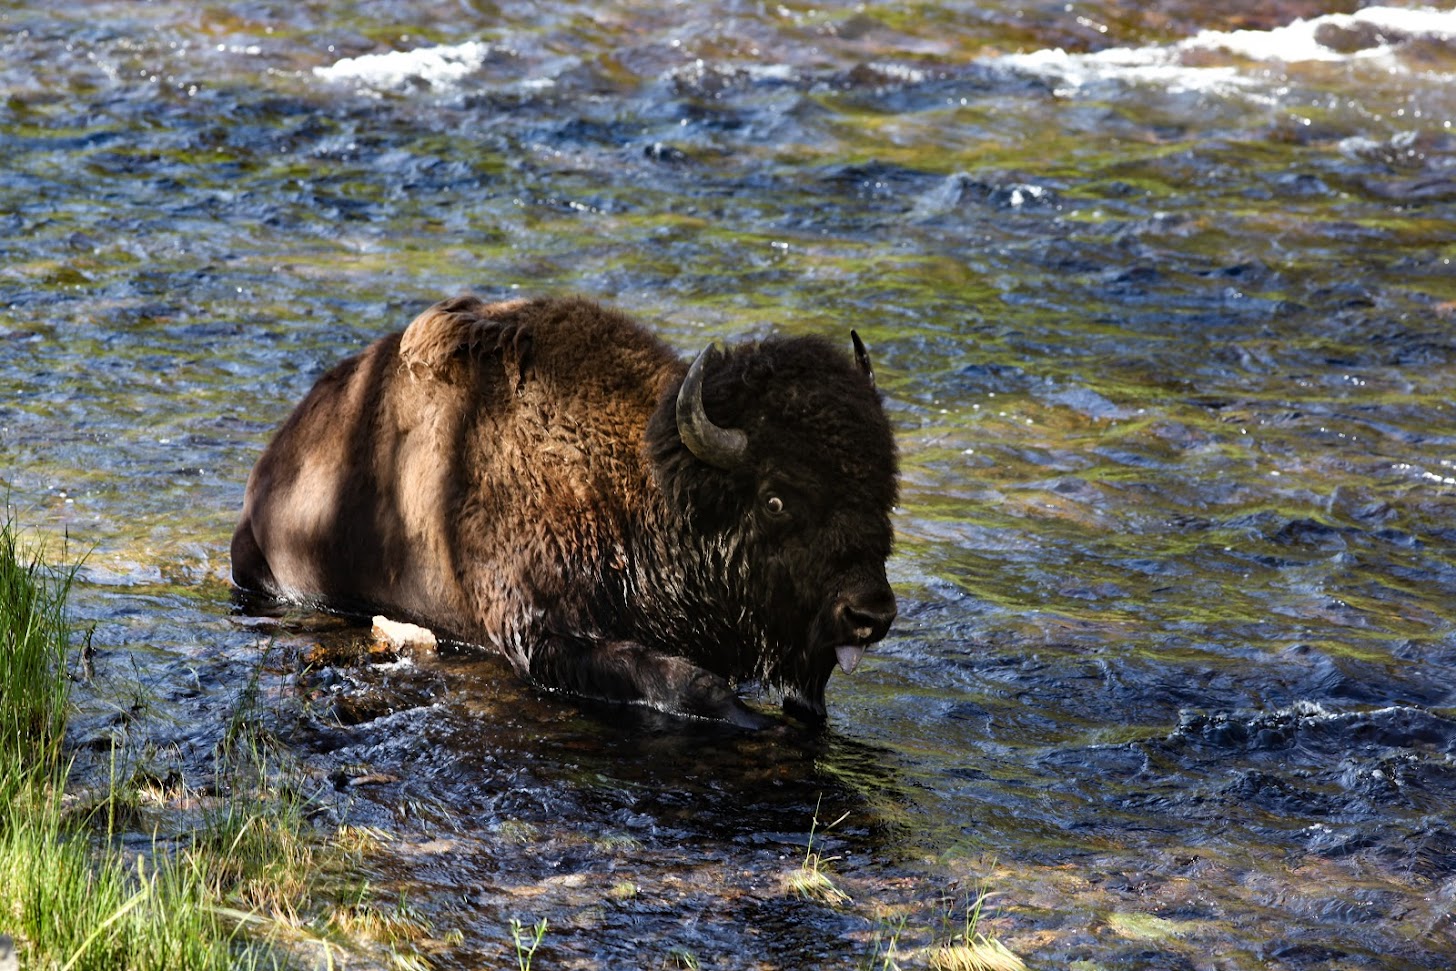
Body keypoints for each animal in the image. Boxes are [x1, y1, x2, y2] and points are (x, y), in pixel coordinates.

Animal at [232, 296, 896, 727]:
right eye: (776, 499)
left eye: (884, 492)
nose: (871, 615)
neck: (638, 485)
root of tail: (271, 461)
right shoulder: (541, 632)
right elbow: (690, 683)